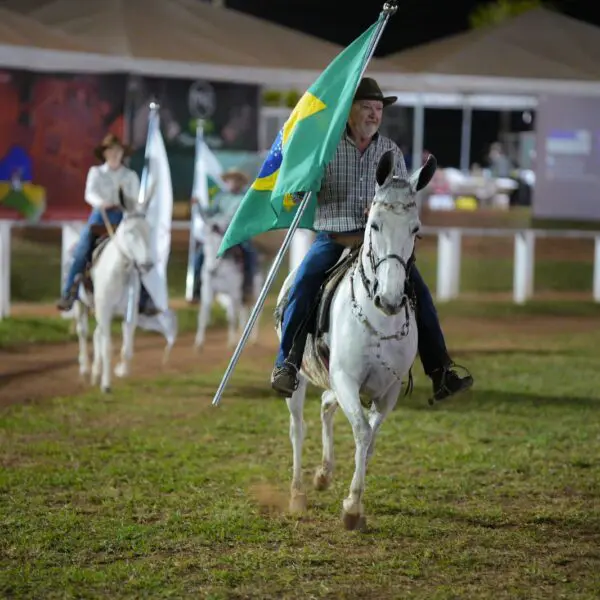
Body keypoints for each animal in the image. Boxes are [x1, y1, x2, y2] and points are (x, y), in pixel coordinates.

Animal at [73, 190, 155, 392]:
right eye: (130, 232)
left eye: (149, 230)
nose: (147, 264)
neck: (119, 271)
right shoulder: (104, 309)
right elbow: (107, 346)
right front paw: (106, 384)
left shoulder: (129, 311)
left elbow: (127, 345)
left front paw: (121, 371)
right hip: (80, 305)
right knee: (82, 332)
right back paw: (85, 369)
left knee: (97, 334)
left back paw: (95, 372)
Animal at [193, 209, 262, 352]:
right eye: (205, 244)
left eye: (219, 243)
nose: (210, 270)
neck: (220, 270)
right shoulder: (208, 291)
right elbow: (203, 316)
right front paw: (199, 344)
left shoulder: (233, 291)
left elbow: (232, 317)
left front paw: (231, 342)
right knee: (243, 311)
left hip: (255, 290)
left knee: (254, 312)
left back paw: (252, 339)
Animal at [274, 150, 436, 528]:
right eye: (374, 224)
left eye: (416, 229)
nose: (389, 298)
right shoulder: (347, 378)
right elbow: (362, 431)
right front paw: (352, 507)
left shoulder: (388, 390)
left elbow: (371, 436)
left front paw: (347, 495)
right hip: (300, 379)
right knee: (297, 428)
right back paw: (298, 492)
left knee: (326, 405)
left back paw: (323, 475)